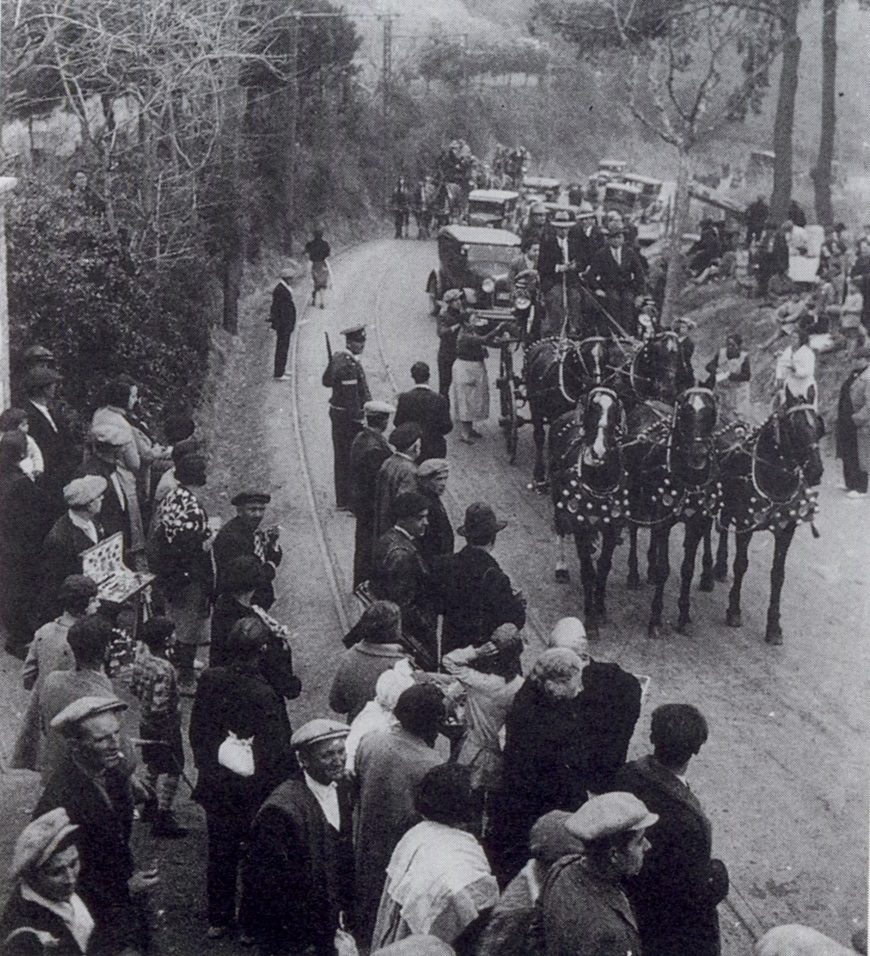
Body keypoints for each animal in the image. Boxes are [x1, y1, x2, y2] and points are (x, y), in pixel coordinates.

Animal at [552, 384, 628, 632]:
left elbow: (603, 566)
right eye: (591, 409)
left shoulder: (612, 526)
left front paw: (600, 608)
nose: (598, 452)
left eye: (615, 411)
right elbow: (587, 571)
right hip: (557, 500)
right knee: (560, 528)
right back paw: (561, 567)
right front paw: (590, 619)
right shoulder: (580, 525)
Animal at [628, 384, 724, 640]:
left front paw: (683, 616)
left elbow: (687, 570)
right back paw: (634, 574)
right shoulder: (665, 521)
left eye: (711, 413)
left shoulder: (696, 523)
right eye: (686, 412)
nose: (699, 455)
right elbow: (665, 569)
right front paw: (655, 620)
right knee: (633, 528)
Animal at [712, 402, 820, 644]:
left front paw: (773, 627)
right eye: (794, 427)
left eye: (820, 426)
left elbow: (778, 575)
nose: (816, 470)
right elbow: (741, 564)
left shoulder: (786, 532)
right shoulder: (745, 524)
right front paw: (734, 610)